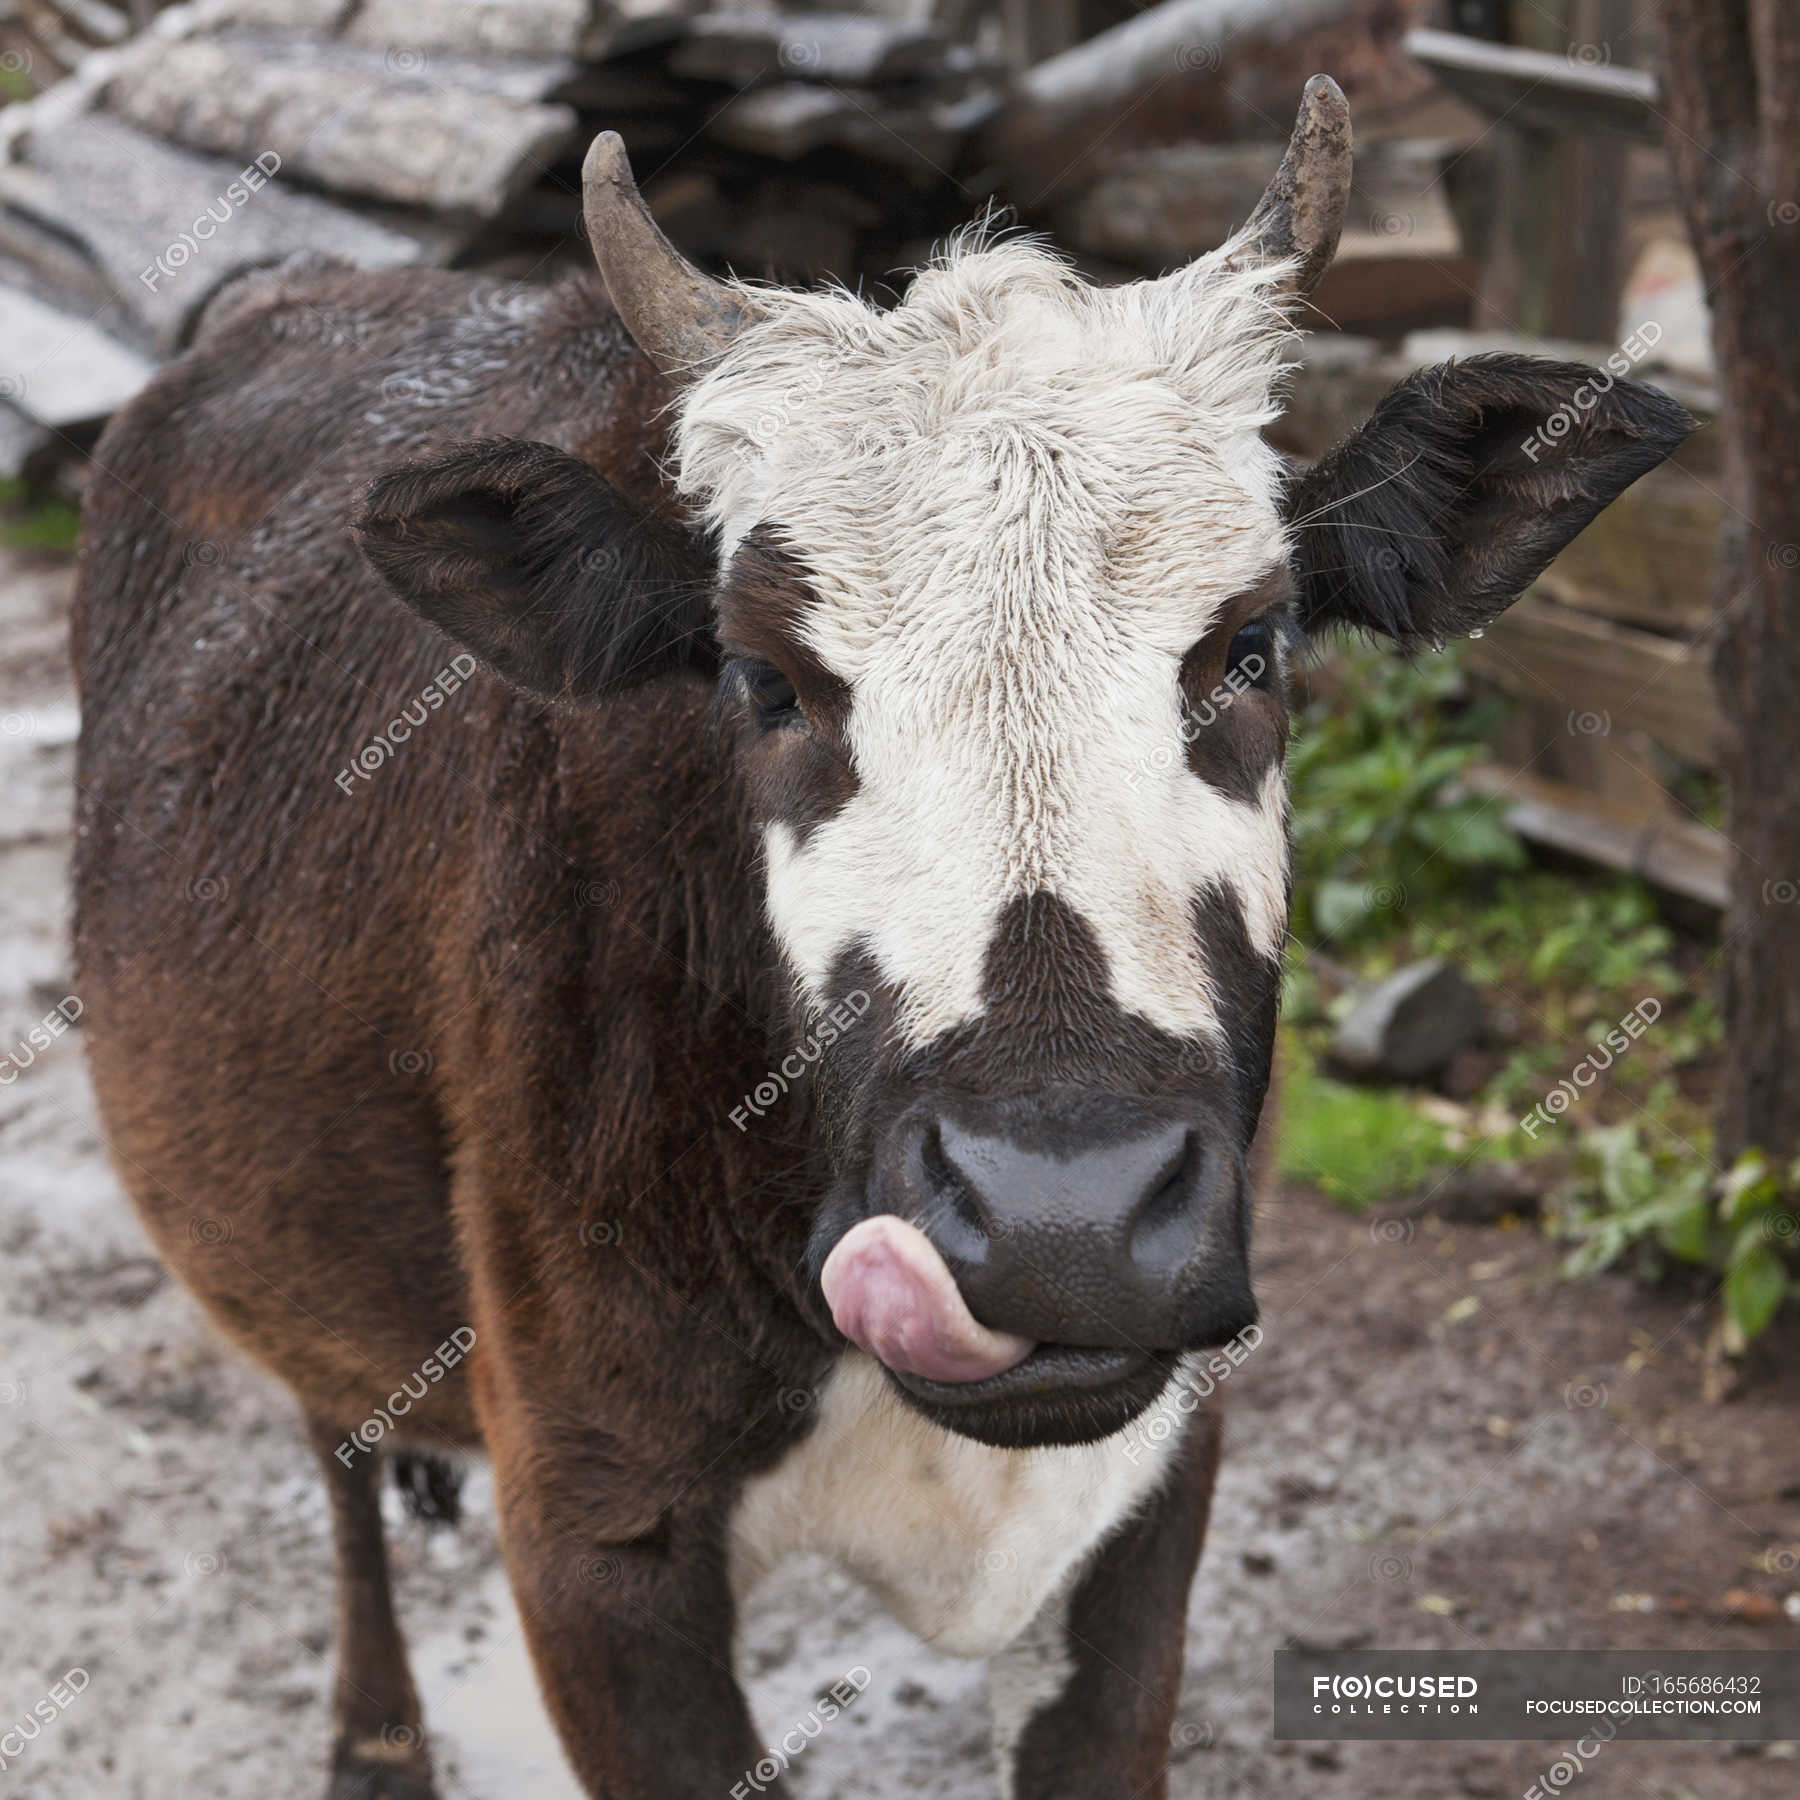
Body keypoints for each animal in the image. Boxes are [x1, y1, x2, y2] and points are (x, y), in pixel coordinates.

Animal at [70, 81, 1692, 1800]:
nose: (1065, 1217)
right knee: (332, 1424)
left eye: (1251, 646)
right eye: (766, 680)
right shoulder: (593, 1536)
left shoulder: (1154, 1487)